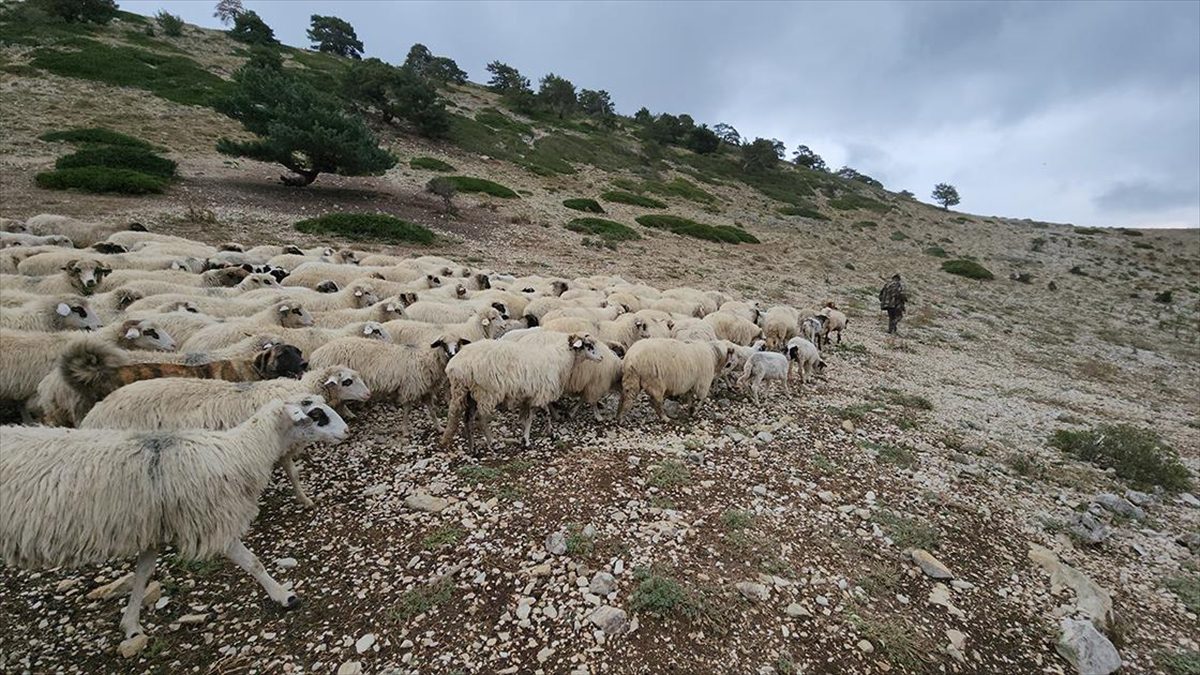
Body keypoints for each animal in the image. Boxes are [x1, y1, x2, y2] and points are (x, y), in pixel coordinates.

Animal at [0, 391, 348, 634]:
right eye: (316, 414)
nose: (345, 431)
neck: (240, 451)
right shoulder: (212, 521)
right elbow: (254, 562)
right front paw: (283, 595)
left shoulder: (153, 528)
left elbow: (143, 572)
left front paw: (131, 624)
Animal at [309, 333, 468, 439]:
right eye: (443, 344)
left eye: (458, 343)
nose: (452, 354)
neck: (426, 359)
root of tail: (316, 355)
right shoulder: (410, 387)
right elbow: (407, 410)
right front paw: (405, 430)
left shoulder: (426, 390)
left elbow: (432, 410)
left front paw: (439, 427)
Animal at [441, 329, 600, 449]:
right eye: (588, 345)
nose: (601, 358)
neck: (562, 358)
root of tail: (456, 366)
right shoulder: (541, 392)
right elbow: (538, 415)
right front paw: (531, 439)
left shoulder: (532, 395)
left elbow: (536, 414)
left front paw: (541, 433)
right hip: (487, 392)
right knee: (481, 417)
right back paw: (492, 443)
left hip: (470, 393)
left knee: (467, 418)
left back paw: (472, 447)